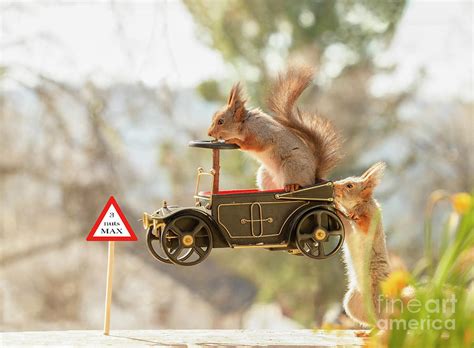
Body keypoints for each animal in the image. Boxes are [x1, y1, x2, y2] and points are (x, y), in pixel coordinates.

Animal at [207, 66, 340, 192]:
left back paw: (293, 186)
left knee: (299, 183)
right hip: (265, 175)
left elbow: (254, 144)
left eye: (221, 121)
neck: (245, 123)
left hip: (292, 165)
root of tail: (313, 178)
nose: (209, 134)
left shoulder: (261, 133)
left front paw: (236, 141)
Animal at [332, 162, 390, 328]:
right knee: (372, 320)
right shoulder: (347, 227)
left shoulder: (371, 219)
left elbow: (361, 223)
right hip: (352, 303)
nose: (333, 185)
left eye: (349, 185)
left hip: (379, 295)